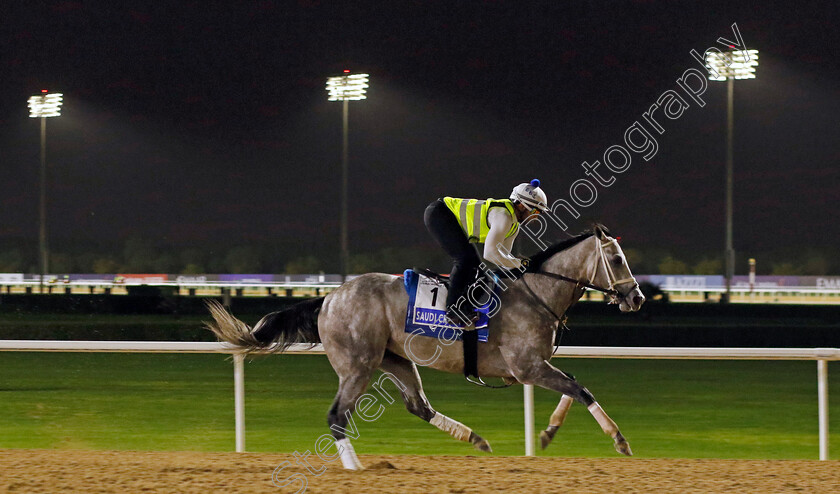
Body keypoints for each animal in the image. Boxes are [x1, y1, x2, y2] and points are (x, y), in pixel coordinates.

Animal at [207, 226, 648, 468]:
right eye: (616, 259)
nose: (637, 297)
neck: (536, 292)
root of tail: (329, 298)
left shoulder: (534, 366)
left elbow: (573, 385)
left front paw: (548, 432)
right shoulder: (527, 366)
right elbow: (580, 388)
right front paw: (619, 440)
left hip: (396, 359)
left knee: (418, 406)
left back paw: (475, 438)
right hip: (357, 366)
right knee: (336, 416)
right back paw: (355, 468)